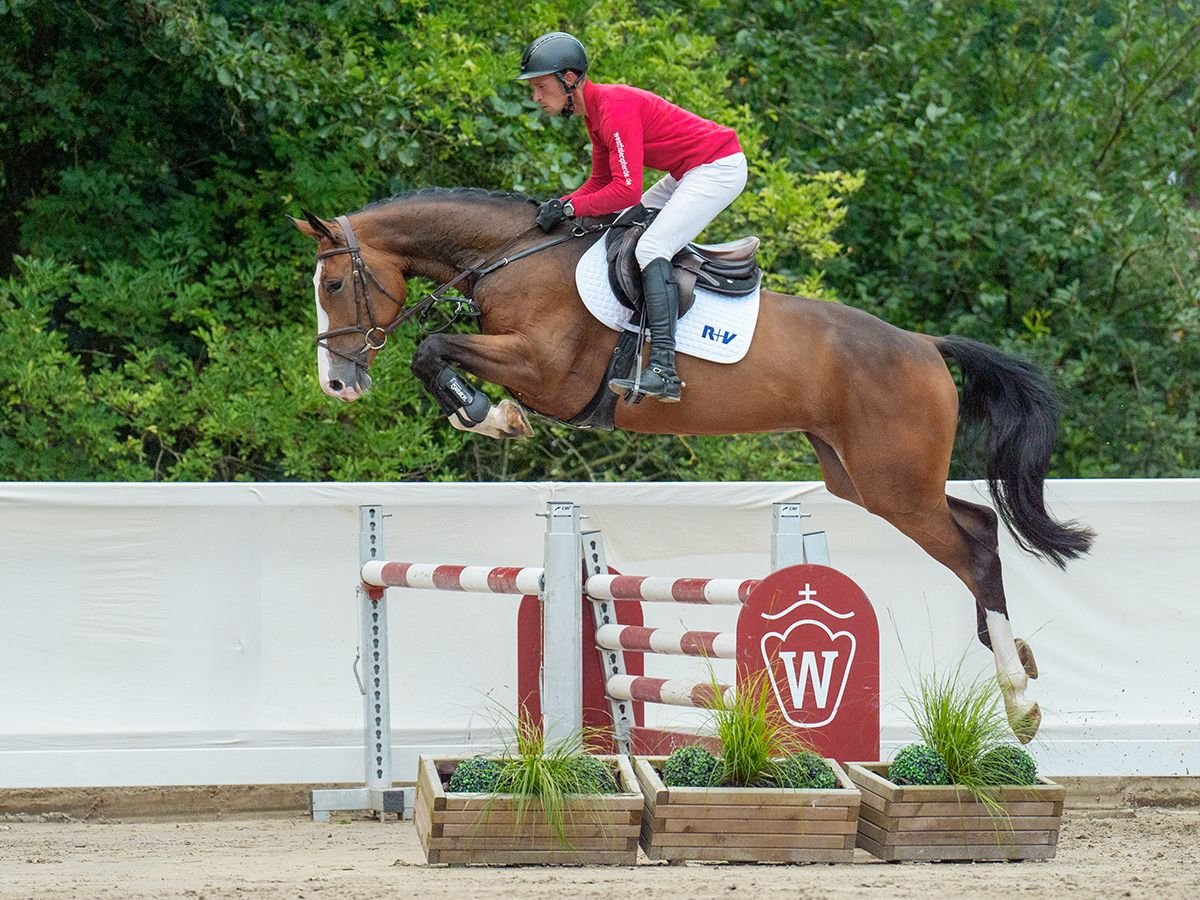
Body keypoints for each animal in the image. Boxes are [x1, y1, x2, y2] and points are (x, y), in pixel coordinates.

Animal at [290, 187, 1099, 744]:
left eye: (333, 286)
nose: (335, 384)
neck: (512, 261)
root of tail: (926, 345)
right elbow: (436, 355)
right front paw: (481, 414)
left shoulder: (547, 371)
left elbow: (434, 350)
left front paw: (490, 415)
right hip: (864, 480)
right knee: (979, 525)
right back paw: (1019, 665)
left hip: (895, 484)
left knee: (974, 547)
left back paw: (1020, 701)